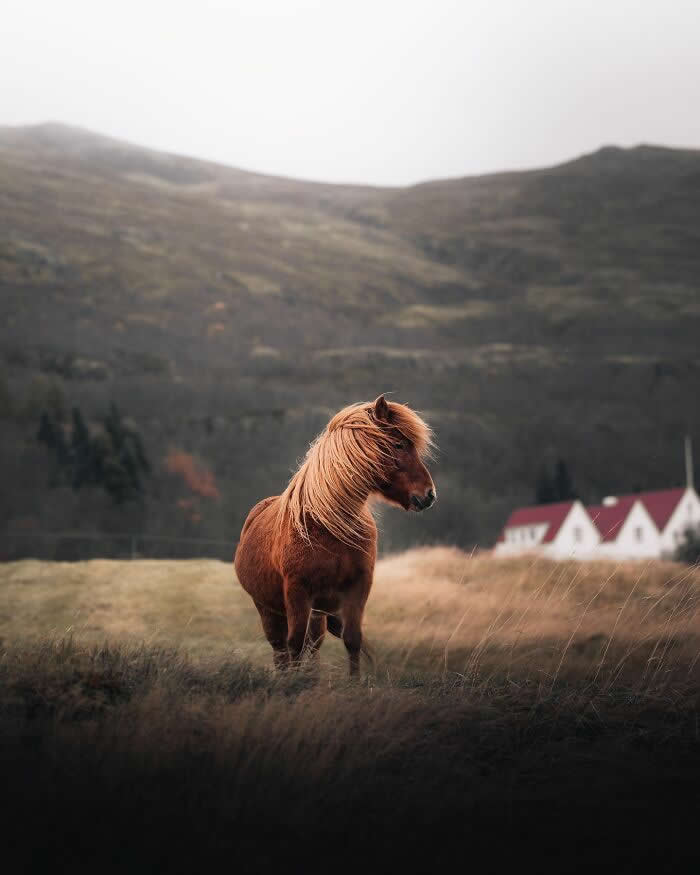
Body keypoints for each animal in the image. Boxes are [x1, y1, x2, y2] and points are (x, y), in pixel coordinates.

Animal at [233, 395, 436, 677]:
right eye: (399, 444)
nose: (429, 495)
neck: (329, 525)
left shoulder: (358, 586)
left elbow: (352, 639)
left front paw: (354, 683)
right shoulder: (297, 592)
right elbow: (294, 644)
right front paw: (294, 684)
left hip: (317, 611)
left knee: (312, 644)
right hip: (269, 609)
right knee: (281, 649)